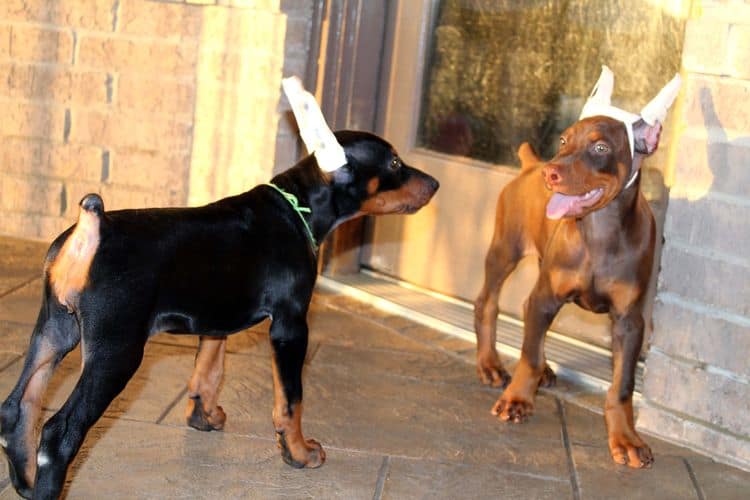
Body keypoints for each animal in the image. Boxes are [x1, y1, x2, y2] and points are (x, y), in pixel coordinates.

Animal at [0, 131, 440, 498]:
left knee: (17, 408)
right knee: (59, 432)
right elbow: (291, 399)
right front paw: (298, 452)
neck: (296, 207)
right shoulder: (291, 325)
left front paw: (203, 415)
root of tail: (91, 229)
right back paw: (45, 488)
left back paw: (25, 481)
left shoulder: (214, 319)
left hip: (53, 330)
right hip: (115, 352)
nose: (435, 184)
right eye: (395, 163)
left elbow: (209, 369)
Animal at [476, 117, 664, 468]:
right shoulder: (546, 297)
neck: (599, 229)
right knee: (489, 303)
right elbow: (529, 356)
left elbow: (623, 384)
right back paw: (490, 365)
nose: (550, 173)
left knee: (527, 315)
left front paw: (626, 439)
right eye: (563, 140)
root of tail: (531, 165)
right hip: (506, 249)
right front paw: (517, 400)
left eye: (601, 147)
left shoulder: (629, 321)